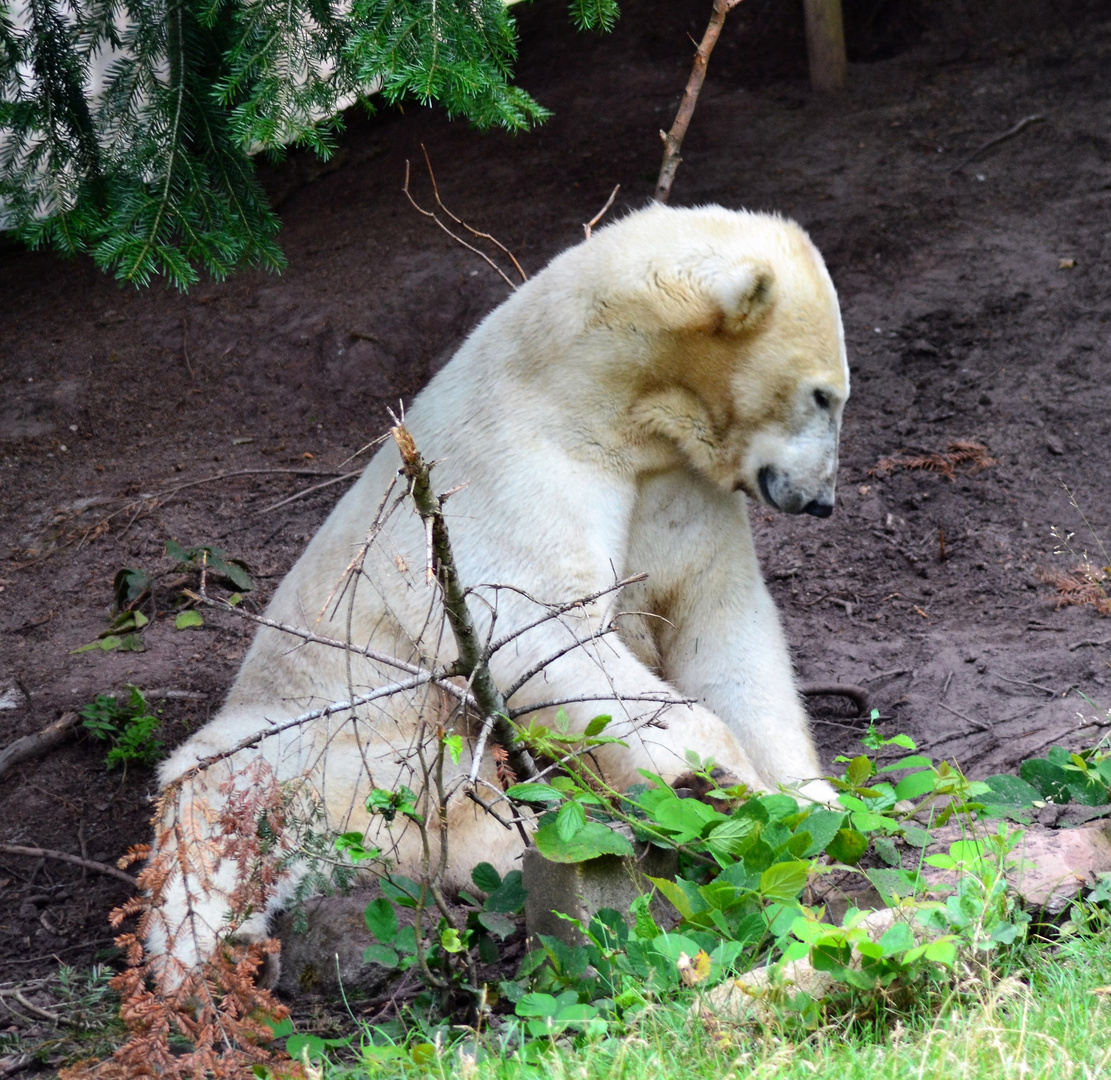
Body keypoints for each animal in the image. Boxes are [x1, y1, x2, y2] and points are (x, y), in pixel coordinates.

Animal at [147, 200, 848, 977]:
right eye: (822, 395)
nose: (821, 500)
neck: (594, 395)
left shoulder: (676, 490)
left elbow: (721, 624)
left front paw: (810, 805)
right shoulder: (513, 473)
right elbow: (544, 629)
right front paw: (718, 783)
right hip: (316, 735)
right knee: (215, 814)